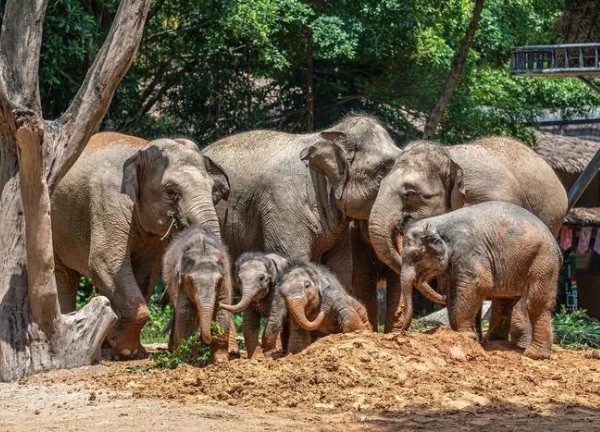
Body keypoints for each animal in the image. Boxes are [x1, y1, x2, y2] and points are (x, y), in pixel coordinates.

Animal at [163, 228, 233, 362]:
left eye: (218, 282)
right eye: (190, 281)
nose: (203, 338)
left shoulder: (225, 280)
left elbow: (222, 310)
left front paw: (220, 361)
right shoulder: (180, 283)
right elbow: (186, 313)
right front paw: (188, 360)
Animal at [398, 201, 564, 360]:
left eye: (416, 257)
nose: (402, 332)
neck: (437, 222)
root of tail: (556, 244)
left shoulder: (468, 250)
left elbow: (478, 285)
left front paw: (466, 336)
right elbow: (453, 291)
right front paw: (466, 336)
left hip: (543, 260)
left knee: (535, 303)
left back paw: (534, 355)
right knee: (504, 301)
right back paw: (495, 343)